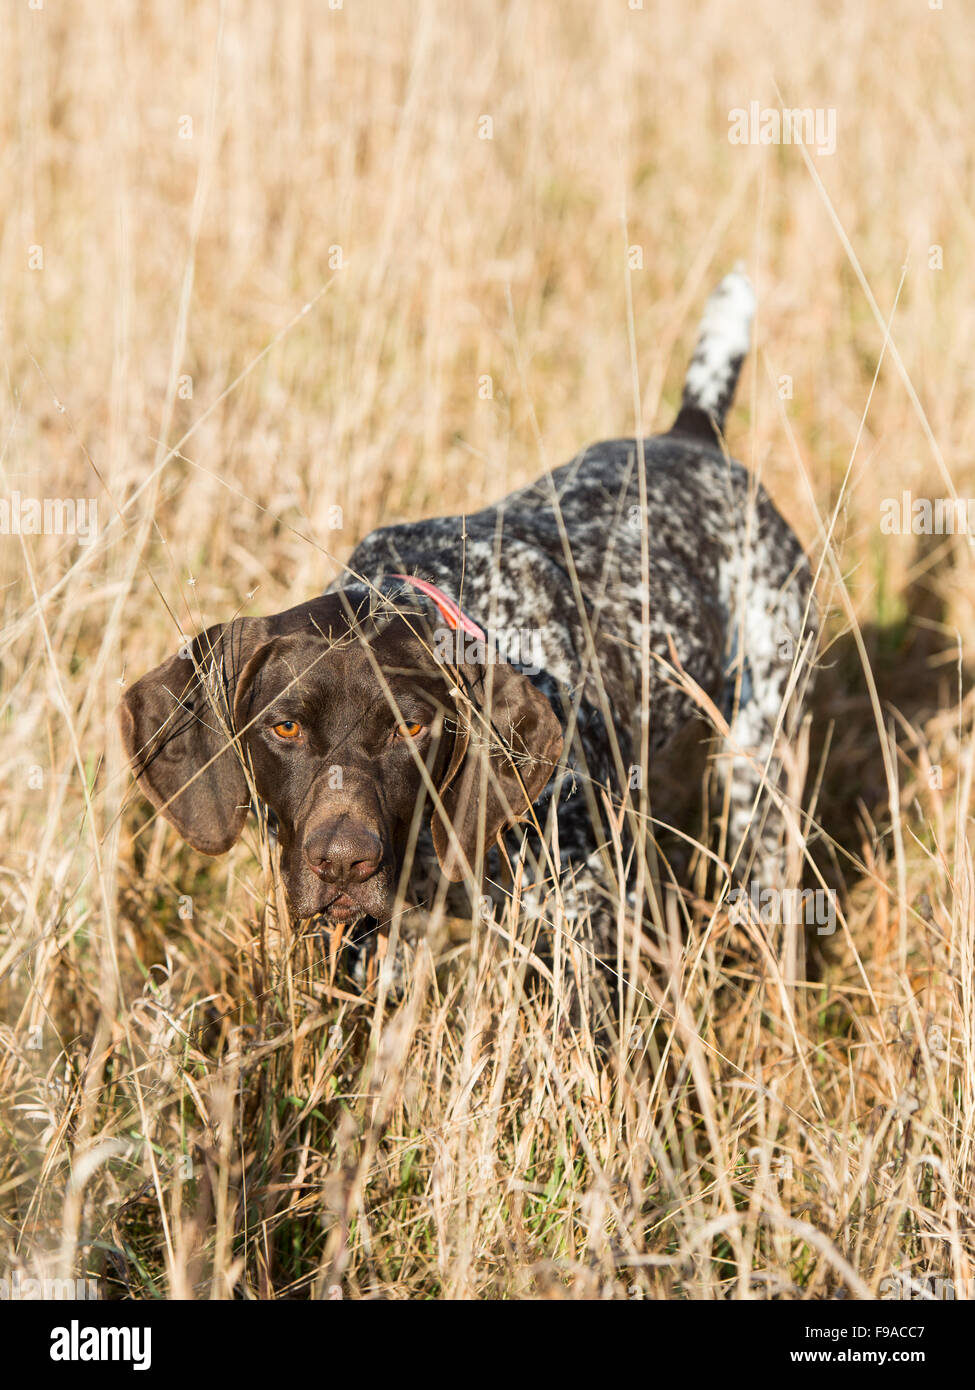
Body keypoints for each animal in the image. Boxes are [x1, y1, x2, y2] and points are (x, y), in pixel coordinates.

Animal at [121, 273, 812, 956]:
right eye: (284, 728)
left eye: (412, 728)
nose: (343, 862)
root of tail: (691, 434)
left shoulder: (584, 915)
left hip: (761, 765)